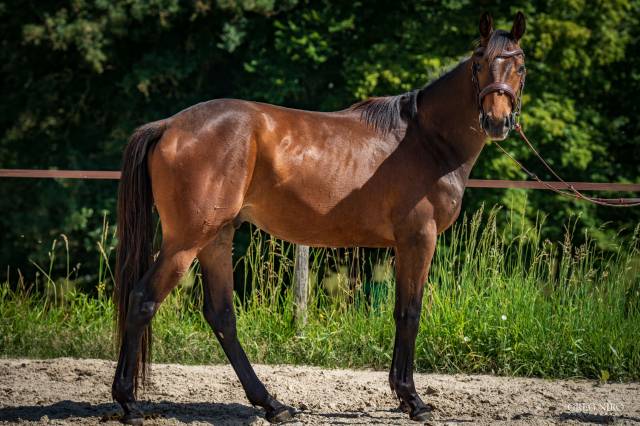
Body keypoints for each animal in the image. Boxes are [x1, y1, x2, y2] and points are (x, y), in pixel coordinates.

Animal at [112, 11, 527, 424]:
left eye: (520, 66)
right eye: (479, 63)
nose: (497, 121)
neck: (426, 140)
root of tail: (169, 126)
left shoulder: (405, 245)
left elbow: (400, 311)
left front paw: (402, 395)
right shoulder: (418, 239)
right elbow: (409, 313)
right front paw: (412, 400)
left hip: (216, 237)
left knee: (222, 316)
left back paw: (272, 404)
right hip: (186, 241)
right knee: (143, 300)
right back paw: (128, 403)